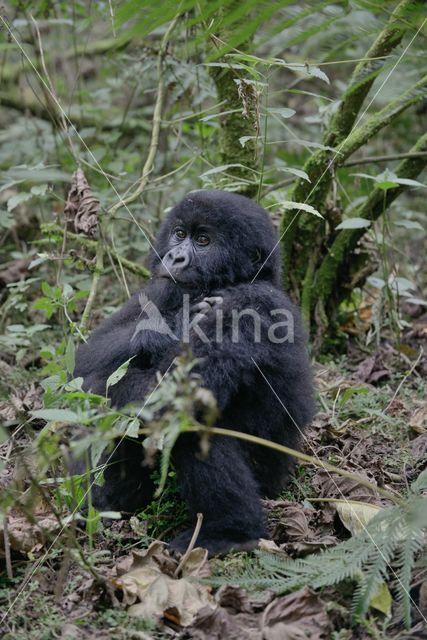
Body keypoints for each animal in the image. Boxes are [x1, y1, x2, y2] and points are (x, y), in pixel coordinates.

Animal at [74, 190, 314, 556]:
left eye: (203, 241)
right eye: (179, 234)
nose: (175, 256)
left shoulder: (249, 305)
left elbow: (168, 395)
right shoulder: (161, 288)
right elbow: (86, 362)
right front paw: (168, 327)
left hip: (271, 481)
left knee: (188, 421)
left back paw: (231, 531)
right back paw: (108, 505)